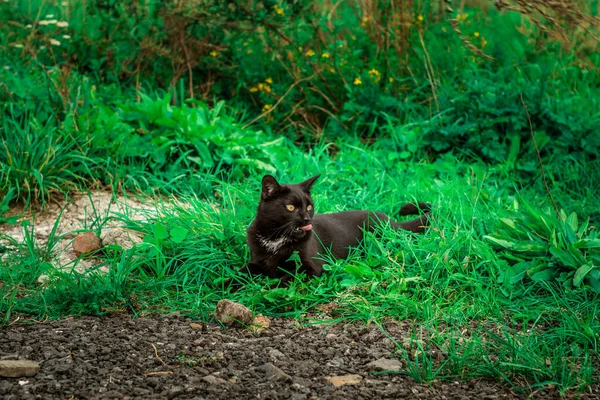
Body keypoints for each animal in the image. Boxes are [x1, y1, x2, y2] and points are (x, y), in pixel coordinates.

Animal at [239, 175, 432, 284]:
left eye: (309, 206)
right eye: (291, 208)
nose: (306, 219)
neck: (276, 237)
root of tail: (391, 221)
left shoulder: (312, 267)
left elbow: (287, 278)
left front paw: (265, 287)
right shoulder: (257, 261)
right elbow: (240, 273)